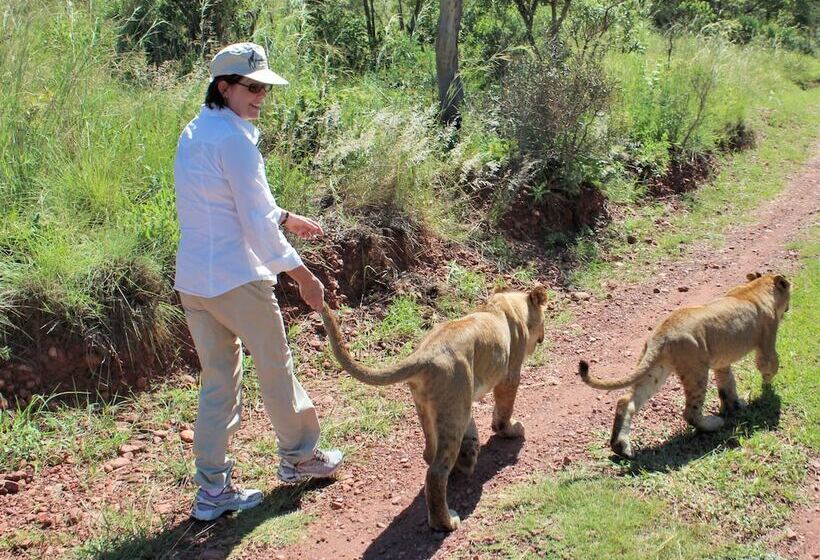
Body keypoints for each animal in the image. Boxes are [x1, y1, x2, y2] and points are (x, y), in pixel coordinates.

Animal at [320, 286, 549, 531]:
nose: (543, 337)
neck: (510, 305)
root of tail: (424, 355)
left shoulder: (465, 397)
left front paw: (470, 449)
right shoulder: (509, 375)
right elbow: (504, 411)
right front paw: (512, 429)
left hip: (432, 408)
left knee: (430, 453)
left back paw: (463, 463)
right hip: (454, 407)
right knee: (436, 472)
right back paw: (447, 521)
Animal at [578, 272, 790, 459]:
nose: (788, 308)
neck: (756, 288)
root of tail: (661, 334)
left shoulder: (721, 362)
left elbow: (727, 385)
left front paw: (735, 405)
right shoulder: (767, 340)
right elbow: (770, 366)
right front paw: (767, 391)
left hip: (656, 371)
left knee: (625, 401)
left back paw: (621, 448)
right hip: (696, 369)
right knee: (690, 412)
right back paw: (713, 424)